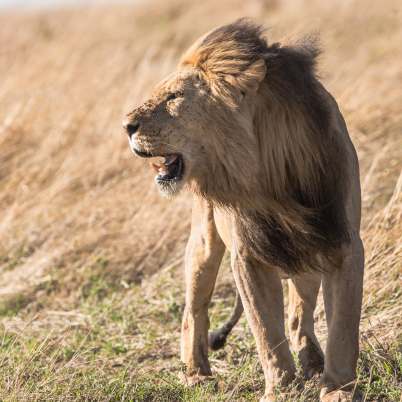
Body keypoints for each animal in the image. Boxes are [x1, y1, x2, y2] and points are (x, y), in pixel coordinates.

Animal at [122, 19, 364, 402]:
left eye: (174, 97)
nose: (126, 126)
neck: (270, 174)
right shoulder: (248, 256)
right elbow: (267, 333)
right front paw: (281, 391)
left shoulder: (341, 241)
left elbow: (342, 326)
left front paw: (338, 389)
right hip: (204, 242)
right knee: (194, 310)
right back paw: (196, 374)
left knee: (299, 312)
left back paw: (312, 359)